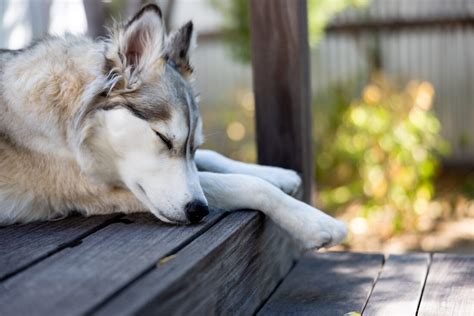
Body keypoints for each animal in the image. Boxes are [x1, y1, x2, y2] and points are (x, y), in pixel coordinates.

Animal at [0, 3, 346, 249]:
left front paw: (277, 174)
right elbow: (242, 184)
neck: (69, 114)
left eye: (191, 144)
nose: (199, 211)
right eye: (163, 138)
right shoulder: (98, 188)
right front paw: (316, 222)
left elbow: (213, 158)